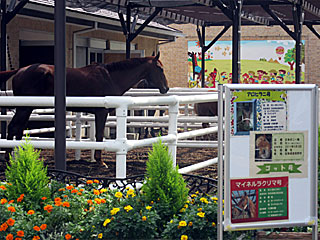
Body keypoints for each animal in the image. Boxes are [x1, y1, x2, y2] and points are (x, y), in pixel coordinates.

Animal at [0, 52, 169, 167]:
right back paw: (9, 160)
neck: (110, 77)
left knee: (19, 129)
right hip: (24, 108)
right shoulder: (101, 113)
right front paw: (100, 162)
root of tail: (20, 71)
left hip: (27, 108)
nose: (166, 88)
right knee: (13, 128)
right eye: (160, 69)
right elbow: (99, 136)